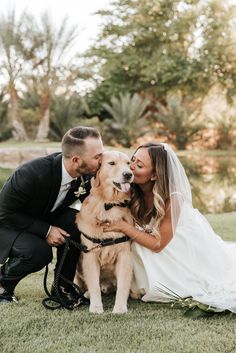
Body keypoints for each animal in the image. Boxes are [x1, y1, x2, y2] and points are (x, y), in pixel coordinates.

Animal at [76, 150, 135, 312]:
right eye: (112, 163)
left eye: (129, 163)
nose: (128, 174)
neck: (109, 204)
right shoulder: (90, 255)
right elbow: (94, 285)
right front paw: (96, 307)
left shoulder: (125, 255)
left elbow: (122, 285)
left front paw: (120, 308)